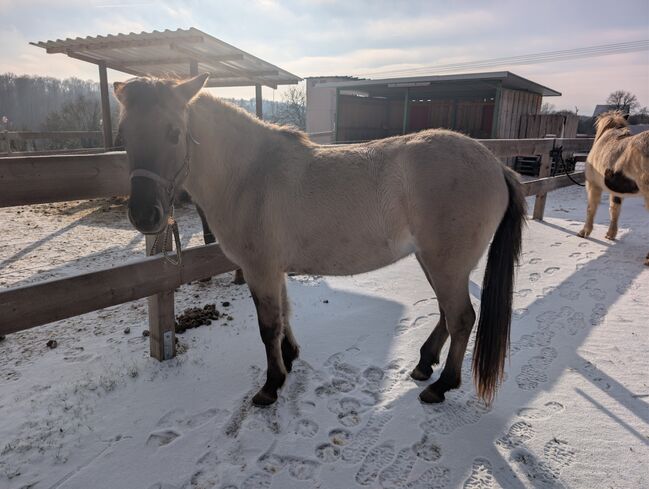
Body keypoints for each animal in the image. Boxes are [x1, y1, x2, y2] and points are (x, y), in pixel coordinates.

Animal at [114, 74, 526, 406]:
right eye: (125, 135)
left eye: (173, 132)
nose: (144, 215)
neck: (250, 174)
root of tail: (495, 164)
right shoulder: (273, 270)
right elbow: (284, 315)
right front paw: (290, 357)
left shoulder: (260, 269)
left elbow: (268, 326)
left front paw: (271, 385)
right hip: (435, 262)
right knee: (446, 313)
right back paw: (425, 364)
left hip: (446, 264)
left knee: (461, 318)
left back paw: (441, 386)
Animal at [577, 111, 649, 265]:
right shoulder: (616, 192)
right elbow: (614, 210)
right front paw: (611, 234)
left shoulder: (593, 185)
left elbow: (591, 209)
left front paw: (584, 232)